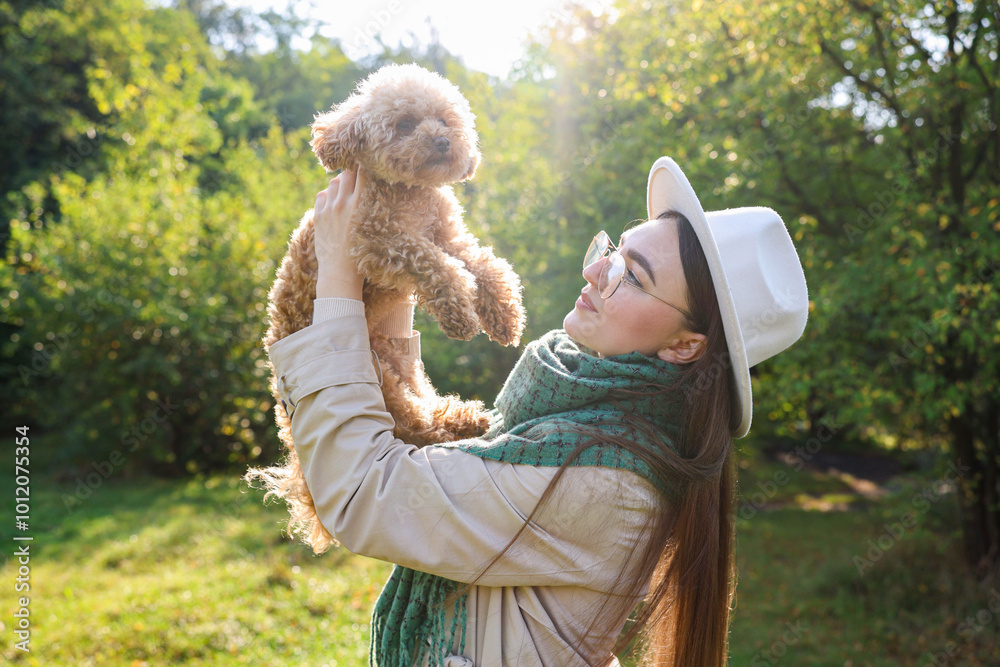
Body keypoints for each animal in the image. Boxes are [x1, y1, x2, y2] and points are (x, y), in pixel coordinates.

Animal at [256, 65, 524, 552]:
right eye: (404, 124)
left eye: (444, 119)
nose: (443, 141)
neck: (410, 194)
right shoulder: (377, 241)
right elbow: (439, 266)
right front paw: (460, 312)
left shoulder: (446, 234)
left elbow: (481, 262)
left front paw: (503, 313)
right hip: (380, 372)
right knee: (412, 429)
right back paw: (458, 429)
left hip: (399, 364)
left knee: (422, 416)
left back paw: (467, 419)